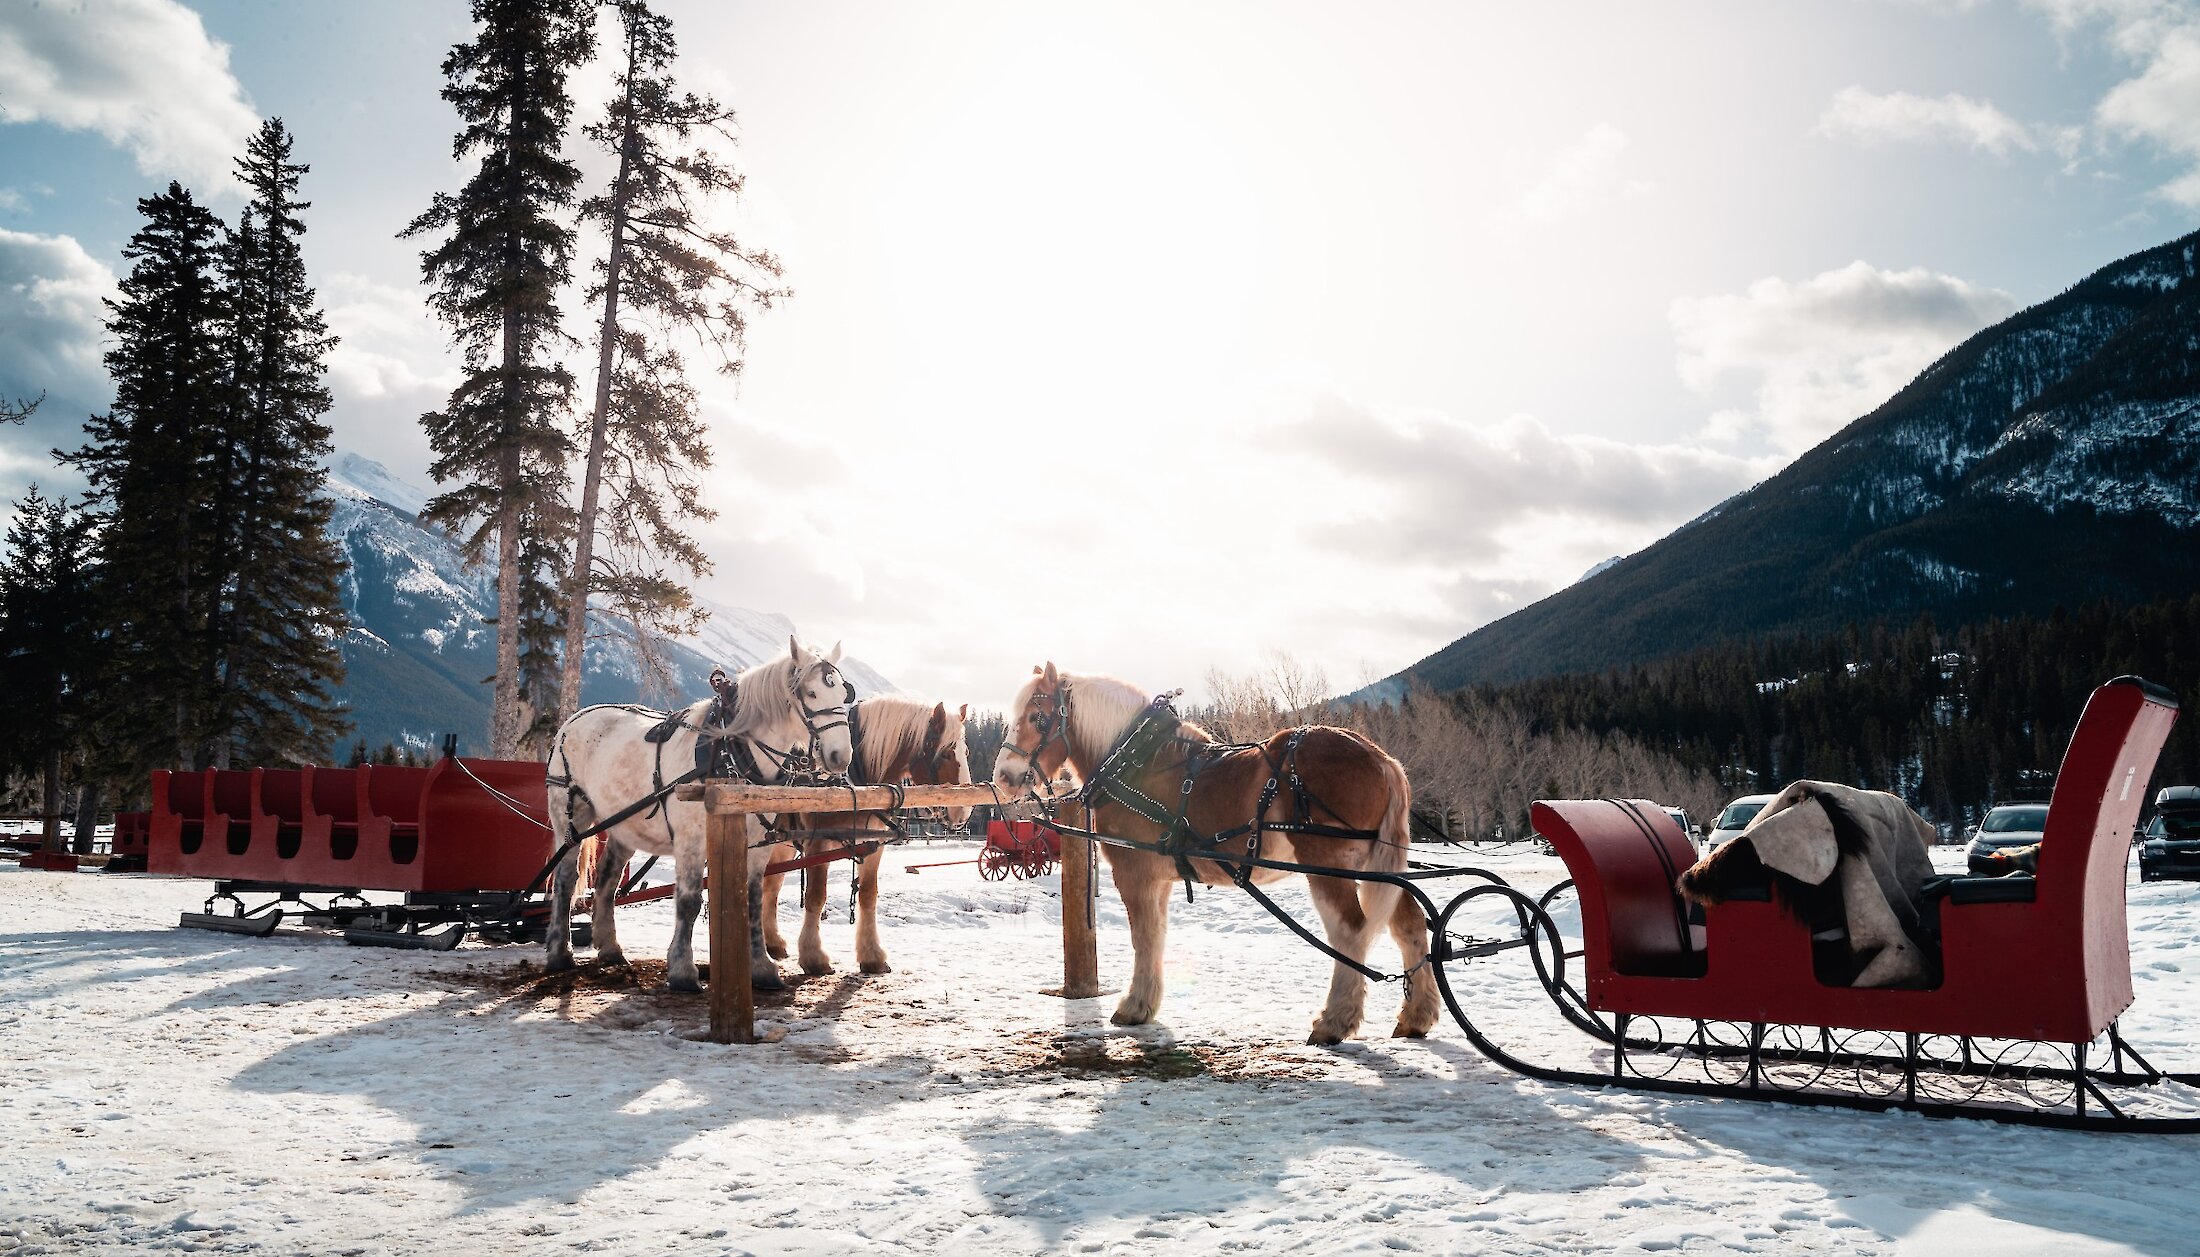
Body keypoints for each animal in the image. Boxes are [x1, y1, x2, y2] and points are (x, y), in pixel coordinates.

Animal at [541, 638, 858, 995]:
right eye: (811, 693)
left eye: (843, 694)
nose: (840, 756)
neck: (733, 751)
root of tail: (574, 719)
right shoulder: (691, 840)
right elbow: (689, 901)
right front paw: (682, 971)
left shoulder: (758, 845)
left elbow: (752, 901)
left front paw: (761, 968)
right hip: (570, 813)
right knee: (565, 880)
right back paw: (559, 953)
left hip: (625, 825)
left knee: (607, 880)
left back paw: (610, 949)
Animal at [756, 700, 972, 973]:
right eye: (945, 753)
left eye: (966, 752)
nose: (963, 811)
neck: (859, 783)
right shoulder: (818, 844)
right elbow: (816, 897)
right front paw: (814, 956)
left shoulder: (873, 845)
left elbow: (869, 895)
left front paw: (872, 955)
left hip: (783, 843)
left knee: (771, 885)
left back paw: (772, 942)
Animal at [990, 664, 1434, 1047]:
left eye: (1038, 718)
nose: (1004, 777)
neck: (1136, 762)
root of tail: (1381, 758)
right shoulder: (1158, 879)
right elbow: (1156, 935)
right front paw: (1146, 1003)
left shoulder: (1133, 871)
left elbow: (1142, 936)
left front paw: (1134, 1006)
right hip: (1376, 866)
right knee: (1409, 925)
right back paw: (1417, 1016)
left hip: (1328, 866)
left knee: (1350, 931)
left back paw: (1334, 1021)